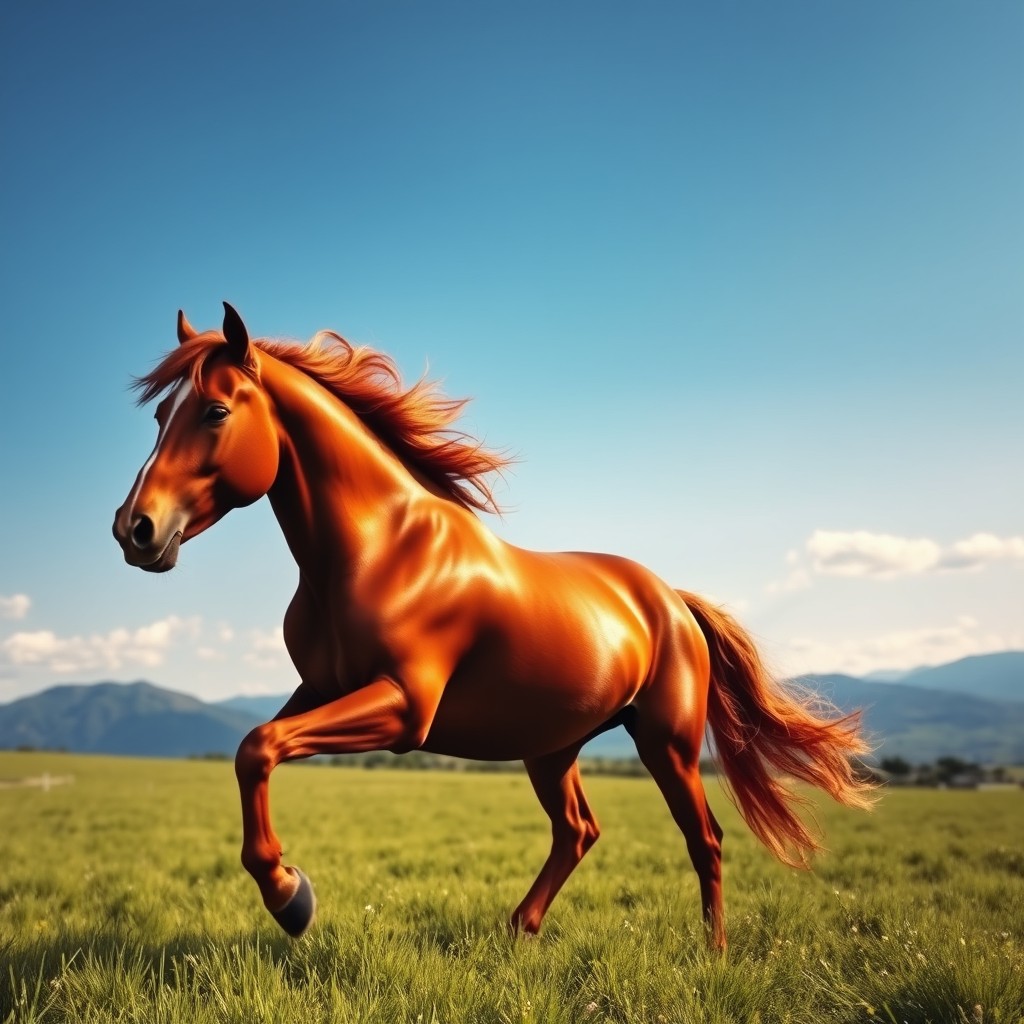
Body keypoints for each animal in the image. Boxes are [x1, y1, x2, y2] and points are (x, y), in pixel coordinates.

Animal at [112, 303, 872, 949]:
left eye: (215, 410)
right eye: (160, 416)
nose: (135, 530)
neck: (380, 550)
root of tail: (672, 600)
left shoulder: (404, 708)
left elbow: (259, 747)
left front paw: (289, 898)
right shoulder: (321, 690)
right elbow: (253, 750)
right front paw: (292, 895)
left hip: (668, 742)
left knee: (704, 838)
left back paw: (712, 953)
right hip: (552, 746)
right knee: (578, 830)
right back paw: (519, 929)